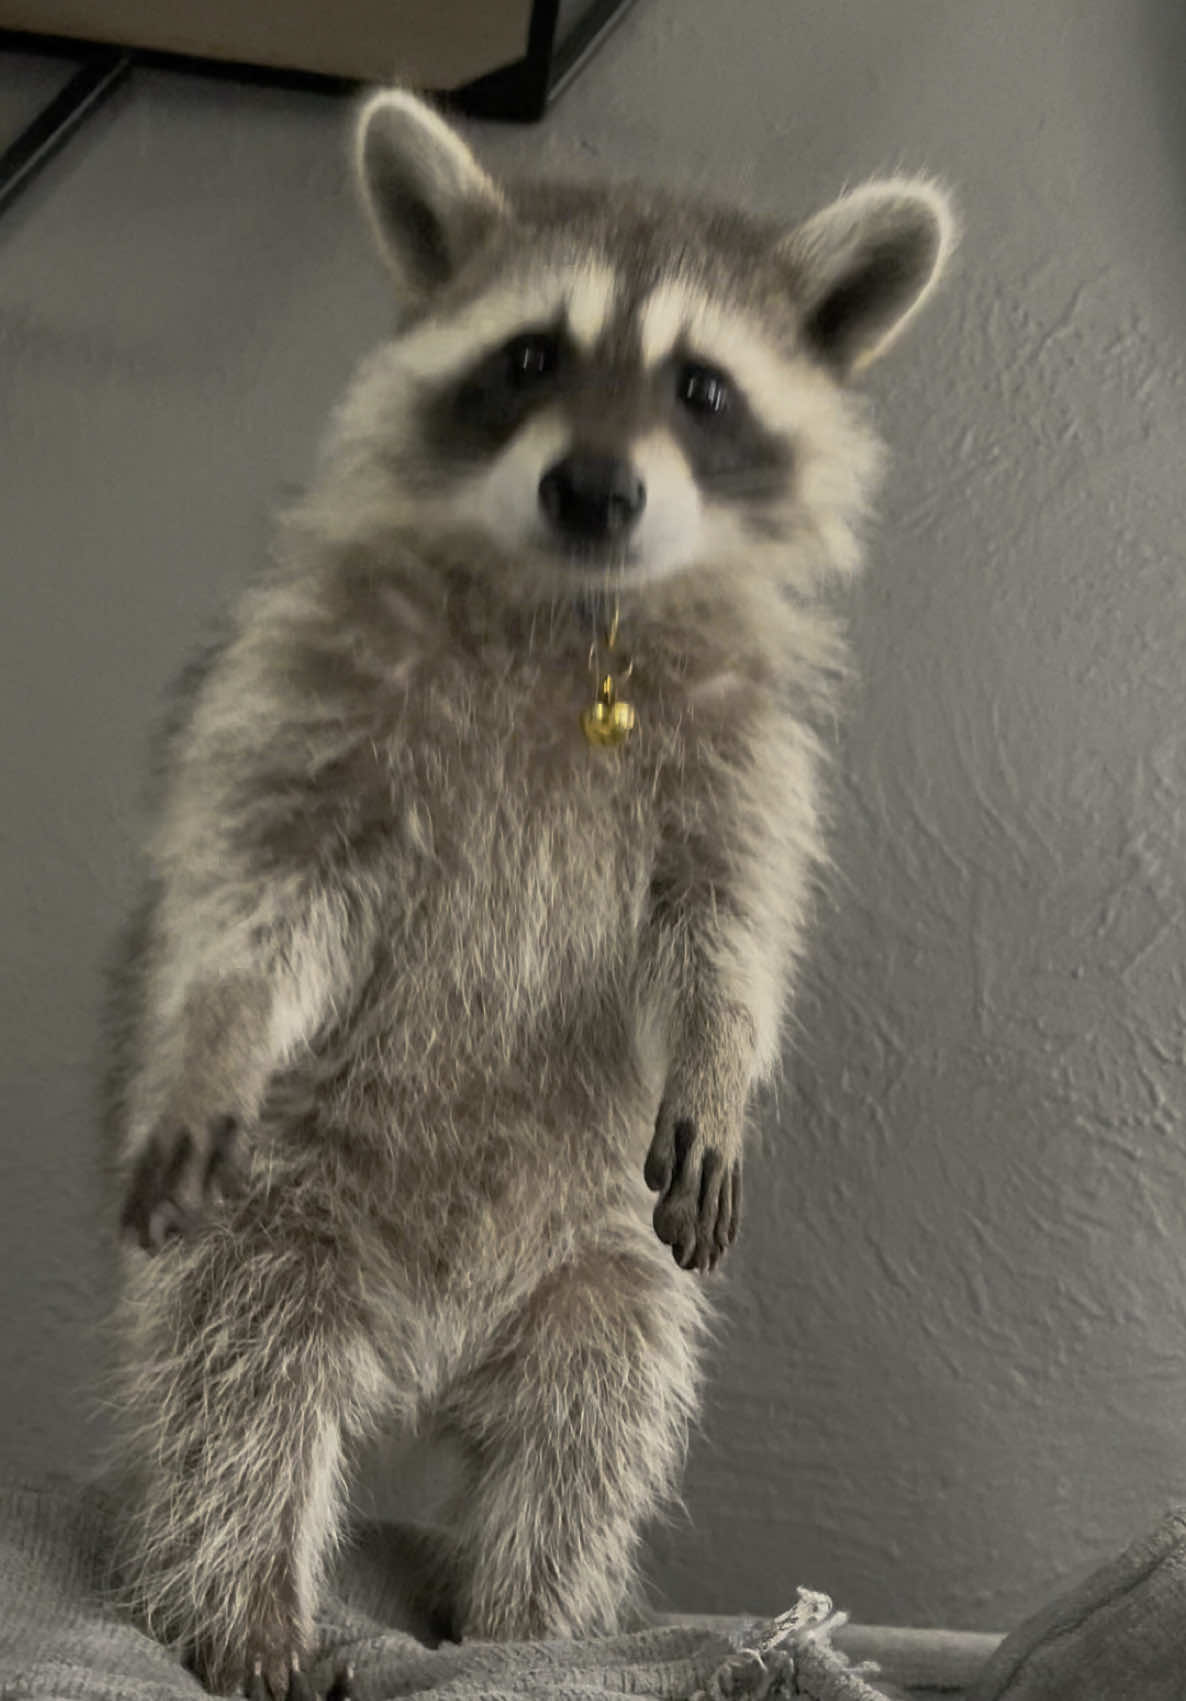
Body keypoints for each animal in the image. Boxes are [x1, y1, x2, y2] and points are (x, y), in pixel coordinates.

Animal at [108, 89, 954, 1697]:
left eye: (700, 387)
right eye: (527, 359)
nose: (595, 489)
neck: (577, 611)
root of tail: (428, 1359)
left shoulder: (745, 751)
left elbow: (727, 921)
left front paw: (720, 1051)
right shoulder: (318, 677)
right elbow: (266, 882)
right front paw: (218, 1029)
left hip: (605, 1261)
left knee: (591, 1434)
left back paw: (524, 1628)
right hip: (287, 1214)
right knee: (239, 1391)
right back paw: (239, 1603)